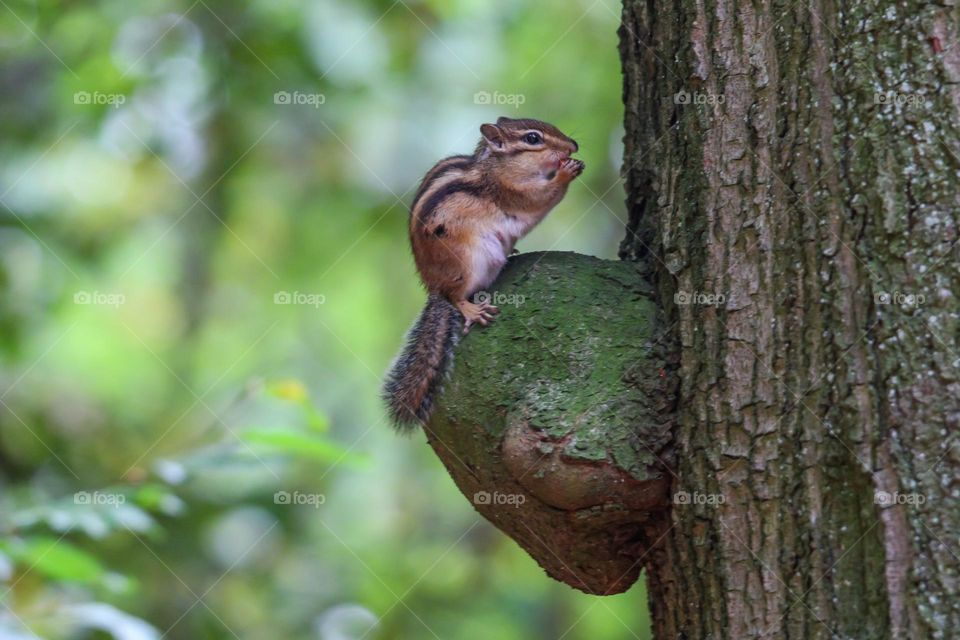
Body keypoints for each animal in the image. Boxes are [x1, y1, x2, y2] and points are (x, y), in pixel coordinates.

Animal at [382, 116, 584, 430]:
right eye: (533, 138)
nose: (573, 145)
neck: (495, 168)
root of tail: (433, 288)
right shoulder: (513, 190)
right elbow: (541, 196)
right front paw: (566, 171)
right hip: (467, 262)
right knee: (455, 296)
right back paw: (472, 310)